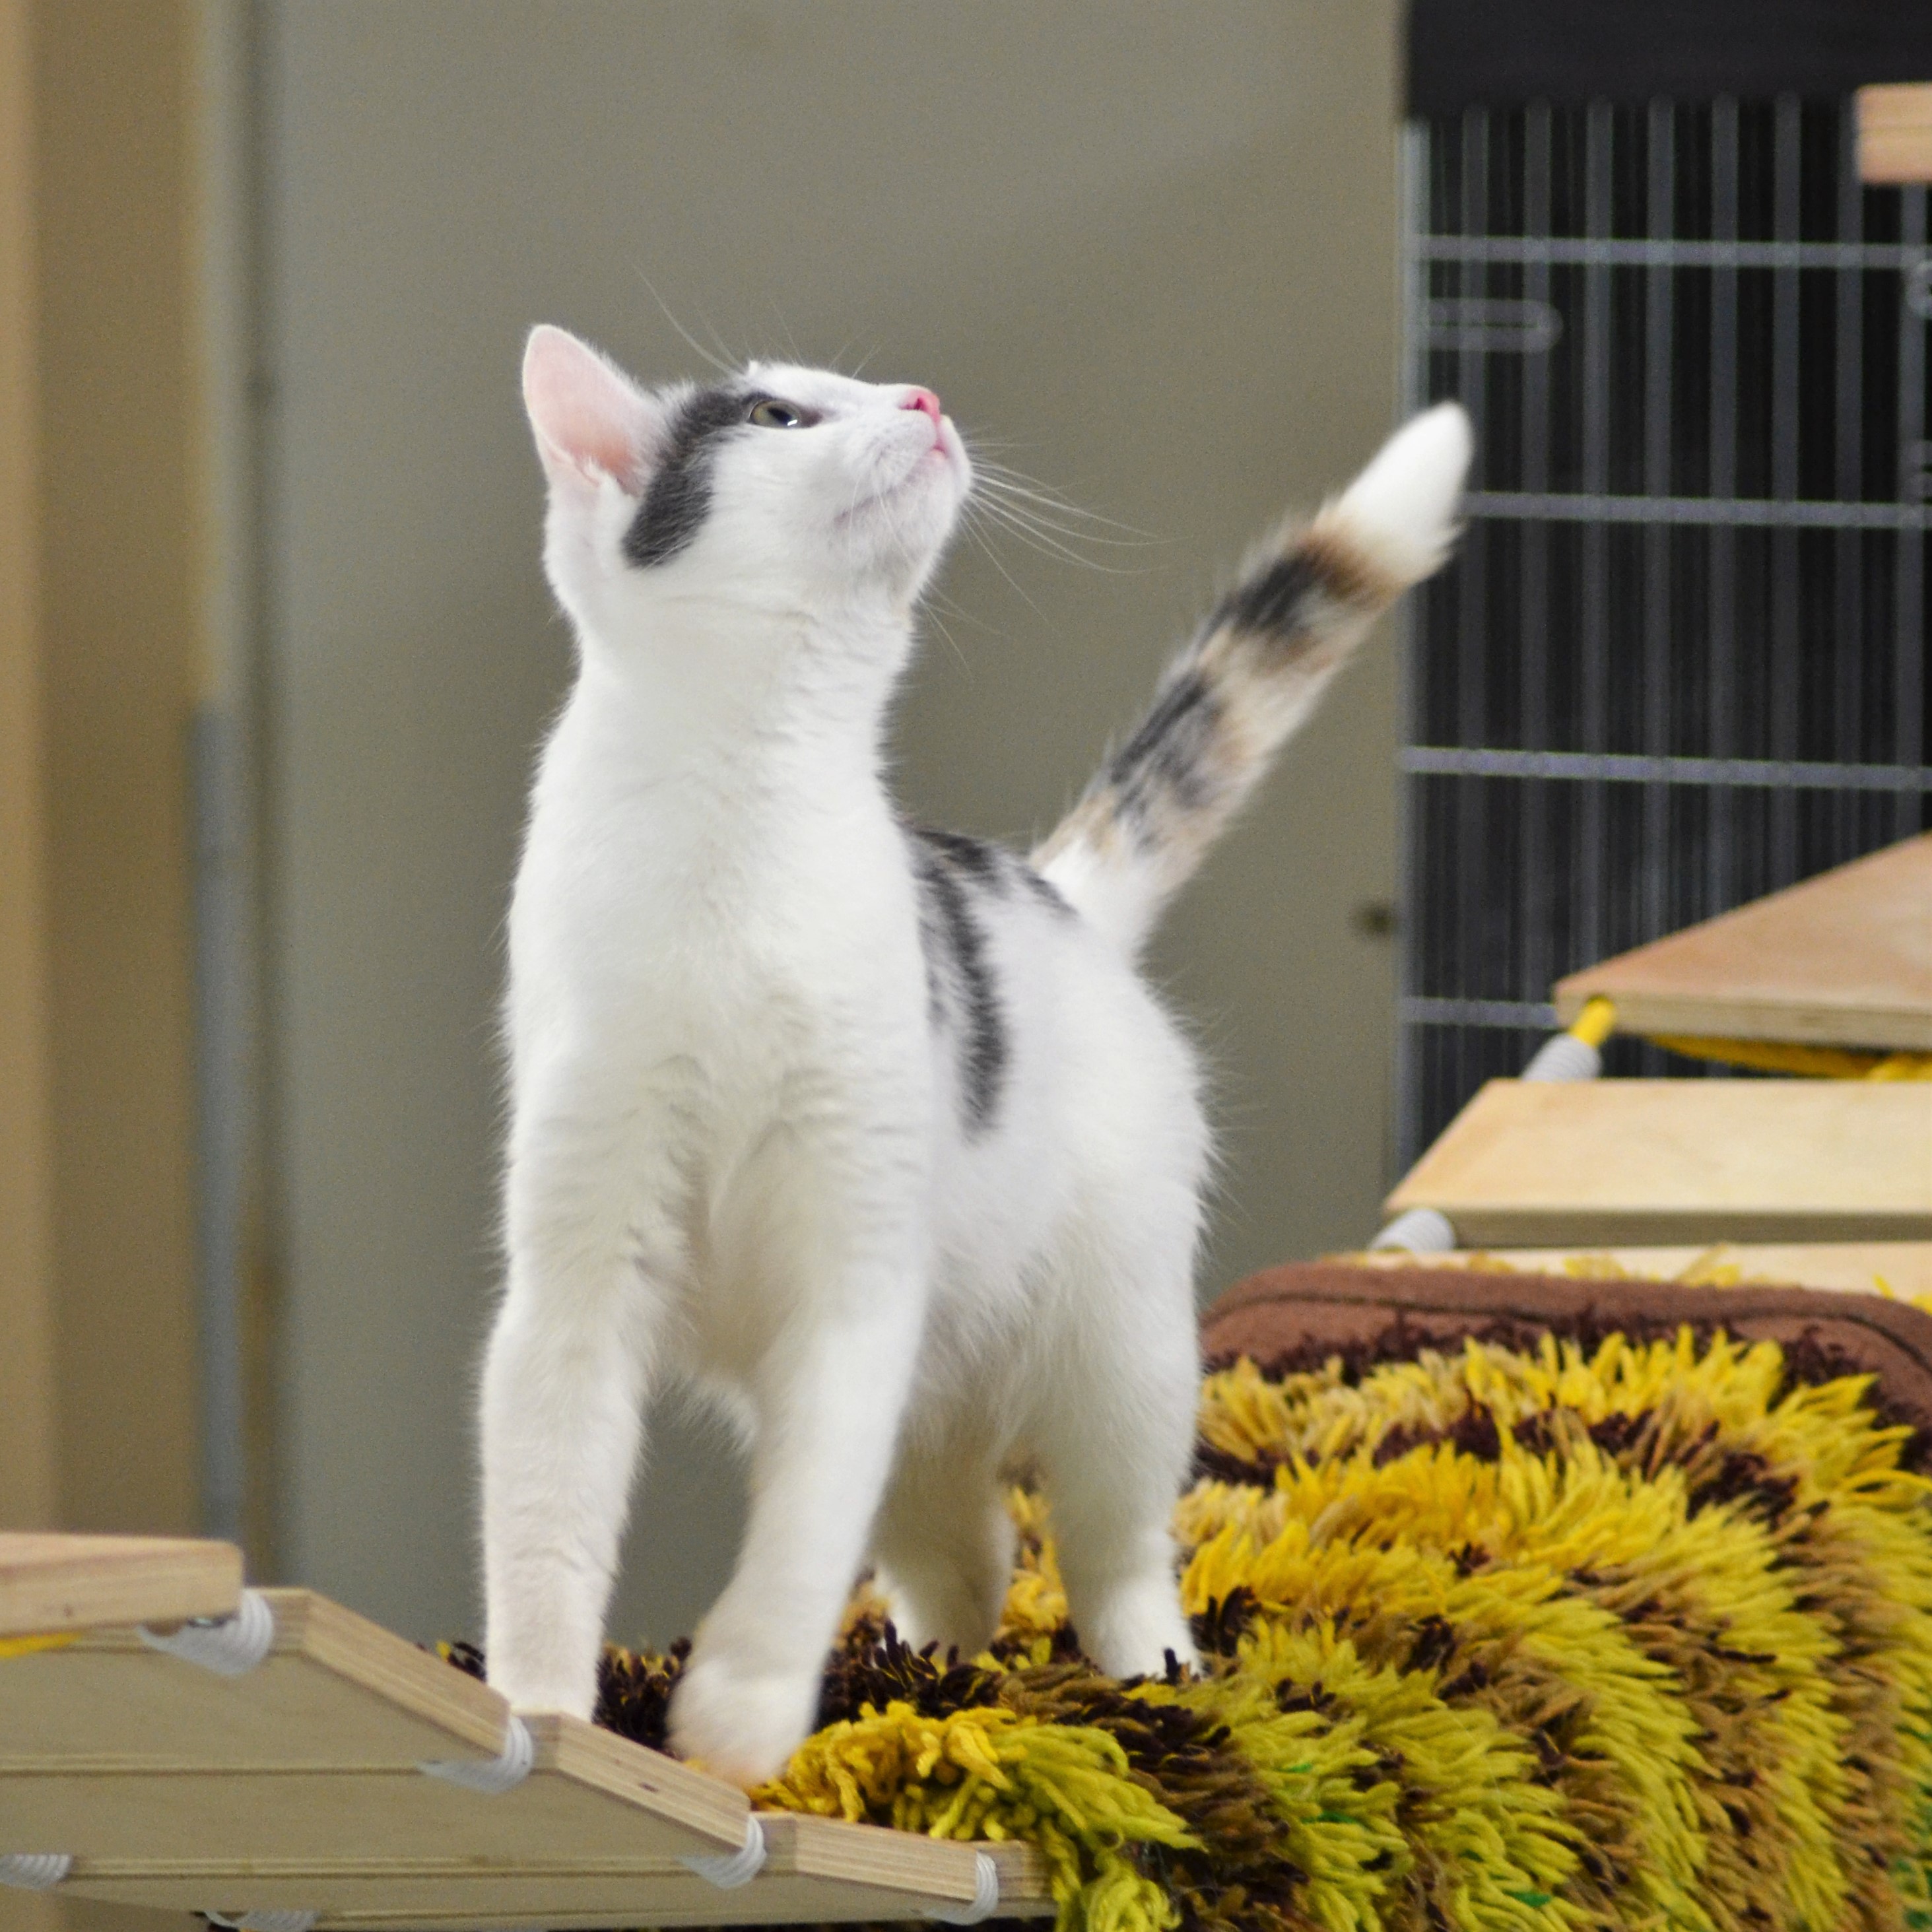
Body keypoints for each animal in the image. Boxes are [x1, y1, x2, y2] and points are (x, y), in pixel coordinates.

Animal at [481, 321, 1472, 1786]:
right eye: (775, 416)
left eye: (854, 388)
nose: (924, 398)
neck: (743, 819)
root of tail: (1057, 894)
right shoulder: (573, 1277)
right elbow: (544, 1521)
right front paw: (546, 1719)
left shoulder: (853, 1278)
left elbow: (797, 1533)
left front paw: (737, 1717)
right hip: (937, 1395)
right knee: (968, 1552)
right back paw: (924, 1679)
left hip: (1120, 1348)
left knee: (1111, 1542)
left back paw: (1147, 1676)